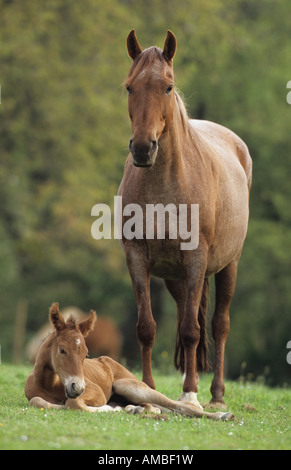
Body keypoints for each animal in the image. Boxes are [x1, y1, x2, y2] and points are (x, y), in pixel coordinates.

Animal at [25, 302, 235, 420]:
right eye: (62, 350)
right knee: (156, 408)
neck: (49, 384)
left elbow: (73, 403)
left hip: (131, 386)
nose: (78, 387)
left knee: (179, 406)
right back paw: (134, 409)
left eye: (85, 354)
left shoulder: (96, 392)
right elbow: (38, 401)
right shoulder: (35, 396)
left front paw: (109, 409)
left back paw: (223, 415)